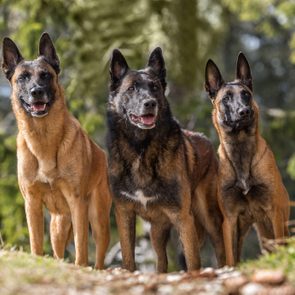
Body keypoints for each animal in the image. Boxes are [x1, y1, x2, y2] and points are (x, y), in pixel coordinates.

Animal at [2, 33, 112, 270]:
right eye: (22, 78)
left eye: (46, 75)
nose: (36, 92)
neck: (44, 140)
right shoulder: (32, 202)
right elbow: (35, 242)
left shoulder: (77, 202)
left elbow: (81, 247)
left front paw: (80, 266)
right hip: (58, 226)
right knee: (58, 252)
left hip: (98, 220)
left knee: (98, 255)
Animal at [107, 46, 225, 272]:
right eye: (131, 89)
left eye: (154, 87)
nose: (150, 103)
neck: (141, 149)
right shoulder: (124, 212)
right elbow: (128, 258)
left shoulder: (183, 217)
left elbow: (193, 261)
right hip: (157, 232)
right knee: (161, 261)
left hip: (209, 218)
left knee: (223, 248)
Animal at [206, 52, 292, 268]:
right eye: (226, 98)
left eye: (246, 94)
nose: (244, 111)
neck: (241, 149)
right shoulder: (230, 220)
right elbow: (230, 259)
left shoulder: (274, 212)